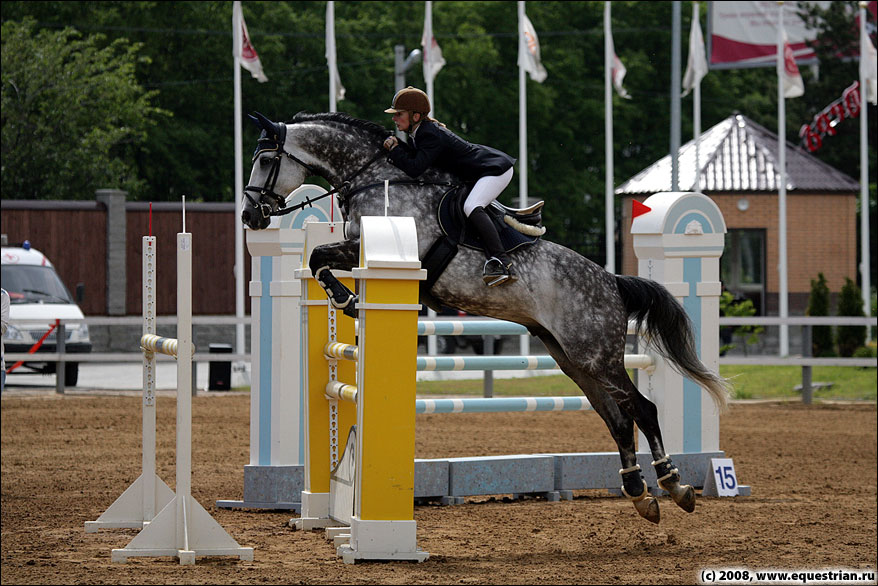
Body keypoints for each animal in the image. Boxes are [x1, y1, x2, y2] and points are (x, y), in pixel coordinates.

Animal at [241, 110, 728, 520]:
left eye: (264, 160)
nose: (250, 215)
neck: (375, 179)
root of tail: (611, 281)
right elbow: (317, 259)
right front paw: (346, 299)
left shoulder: (383, 246)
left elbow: (320, 257)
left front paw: (346, 300)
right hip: (572, 359)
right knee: (618, 418)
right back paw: (640, 495)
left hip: (596, 354)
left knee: (642, 409)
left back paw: (675, 487)